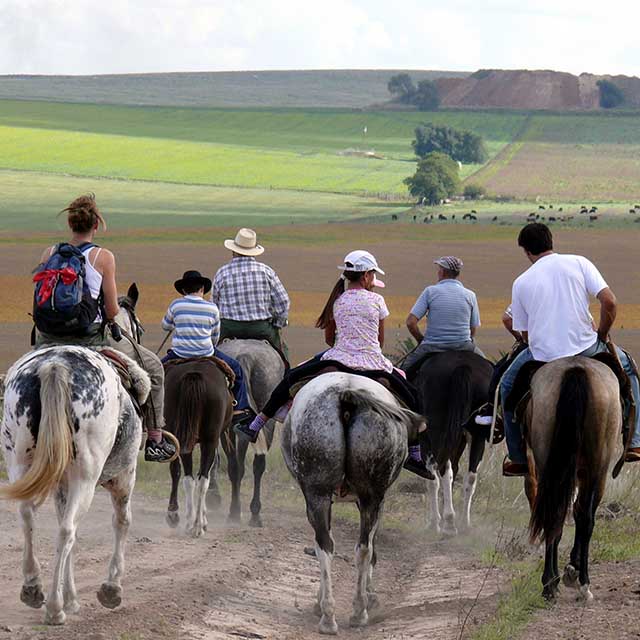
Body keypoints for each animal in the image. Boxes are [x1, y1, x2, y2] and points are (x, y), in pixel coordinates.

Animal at [0, 344, 149, 624]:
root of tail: (56, 365)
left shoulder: (61, 486)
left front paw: (71, 597)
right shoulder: (124, 477)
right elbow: (122, 522)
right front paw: (111, 588)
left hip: (19, 461)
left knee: (28, 516)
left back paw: (33, 587)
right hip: (86, 478)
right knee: (66, 530)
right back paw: (54, 608)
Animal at [164, 360, 234, 536]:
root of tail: (194, 374)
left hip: (180, 437)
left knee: (188, 477)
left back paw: (186, 521)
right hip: (209, 440)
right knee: (202, 479)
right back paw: (195, 525)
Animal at [210, 338, 284, 528]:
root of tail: (245, 356)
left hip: (230, 426)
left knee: (234, 466)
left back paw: (234, 511)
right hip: (266, 420)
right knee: (258, 465)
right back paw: (254, 513)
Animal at [524, 358, 620, 604]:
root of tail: (576, 368)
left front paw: (568, 571)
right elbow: (581, 513)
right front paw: (573, 570)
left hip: (551, 462)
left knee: (556, 514)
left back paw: (551, 584)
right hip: (596, 466)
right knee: (580, 517)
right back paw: (579, 584)